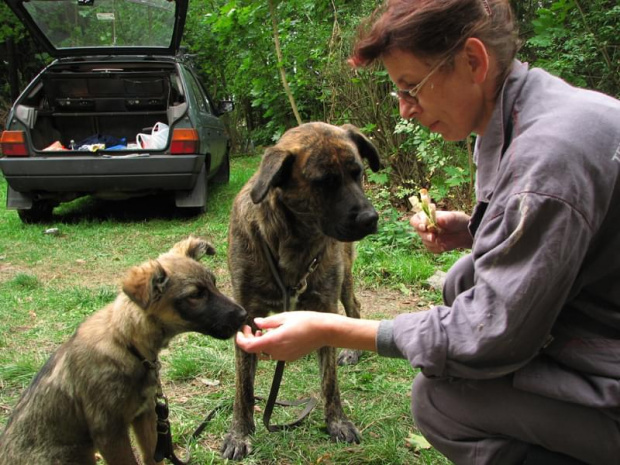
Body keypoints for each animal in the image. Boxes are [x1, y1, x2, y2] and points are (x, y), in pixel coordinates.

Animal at [0, 236, 247, 464]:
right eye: (195, 295)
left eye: (214, 283)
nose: (244, 315)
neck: (126, 342)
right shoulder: (109, 431)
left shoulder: (146, 415)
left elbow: (151, 458)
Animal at [220, 121, 380, 458]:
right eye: (325, 182)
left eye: (357, 173)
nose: (370, 218)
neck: (295, 242)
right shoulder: (247, 313)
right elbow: (244, 385)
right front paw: (239, 433)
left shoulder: (326, 303)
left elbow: (330, 381)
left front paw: (337, 422)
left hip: (343, 279)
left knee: (354, 308)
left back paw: (351, 351)